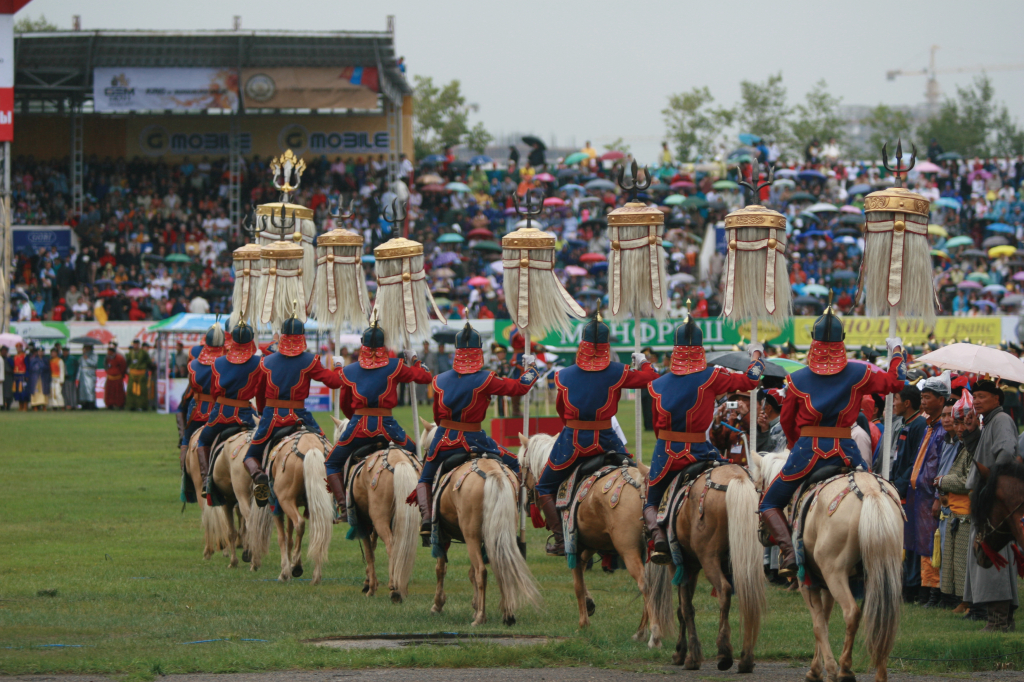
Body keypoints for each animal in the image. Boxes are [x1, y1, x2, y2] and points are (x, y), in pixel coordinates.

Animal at [331, 413, 419, 602]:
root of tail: (398, 461)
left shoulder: (363, 522)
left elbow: (369, 553)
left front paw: (370, 587)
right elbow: (372, 545)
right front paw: (368, 582)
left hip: (379, 517)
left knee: (392, 545)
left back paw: (394, 588)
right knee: (405, 545)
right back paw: (403, 585)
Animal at [419, 421, 544, 622]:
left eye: (425, 448)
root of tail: (492, 473)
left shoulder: (443, 535)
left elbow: (441, 568)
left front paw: (438, 605)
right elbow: (470, 572)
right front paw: (475, 604)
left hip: (471, 536)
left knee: (482, 571)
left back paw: (480, 617)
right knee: (500, 566)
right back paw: (507, 613)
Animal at [516, 432, 675, 647]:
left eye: (520, 465)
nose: (525, 503)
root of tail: (642, 487)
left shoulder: (572, 544)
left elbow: (577, 583)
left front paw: (583, 623)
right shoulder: (591, 543)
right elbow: (582, 574)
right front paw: (589, 604)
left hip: (629, 551)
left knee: (645, 584)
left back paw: (653, 635)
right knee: (651, 587)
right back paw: (640, 632)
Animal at [659, 462, 765, 667]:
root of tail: (736, 478)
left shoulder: (680, 566)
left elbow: (685, 608)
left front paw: (688, 654)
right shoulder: (692, 567)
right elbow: (685, 606)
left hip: (708, 559)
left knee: (724, 590)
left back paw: (724, 652)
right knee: (750, 595)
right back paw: (746, 658)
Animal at [753, 450, 905, 679]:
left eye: (758, 488)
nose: (761, 532)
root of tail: (870, 491)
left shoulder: (808, 581)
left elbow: (818, 625)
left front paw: (827, 669)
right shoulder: (824, 583)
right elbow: (824, 620)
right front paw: (816, 668)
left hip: (836, 573)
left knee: (852, 613)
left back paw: (844, 669)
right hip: (882, 573)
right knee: (883, 620)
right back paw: (879, 674)